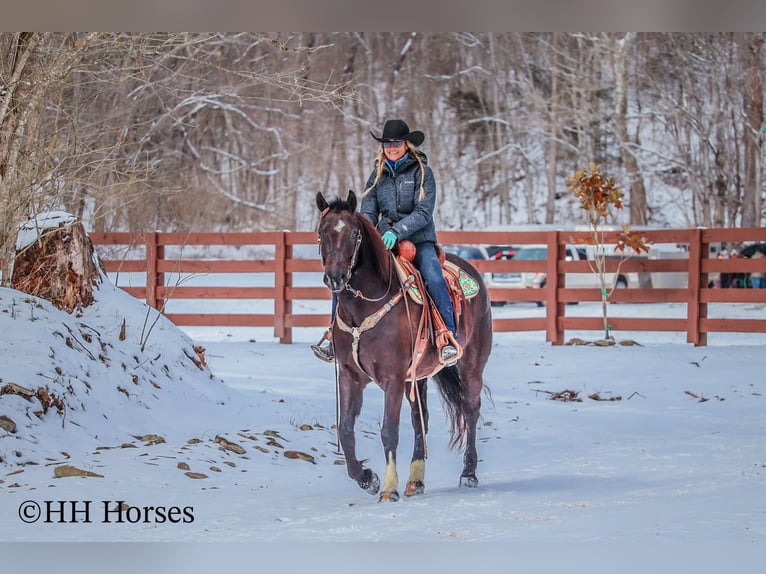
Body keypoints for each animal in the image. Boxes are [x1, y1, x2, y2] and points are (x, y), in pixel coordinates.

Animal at [316, 190, 493, 502]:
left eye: (353, 233)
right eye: (322, 232)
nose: (335, 277)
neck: (365, 306)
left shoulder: (393, 378)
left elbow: (389, 430)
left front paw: (388, 488)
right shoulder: (349, 375)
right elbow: (346, 430)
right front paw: (367, 478)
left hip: (472, 364)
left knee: (471, 410)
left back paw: (468, 474)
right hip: (418, 376)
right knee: (420, 418)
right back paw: (416, 480)